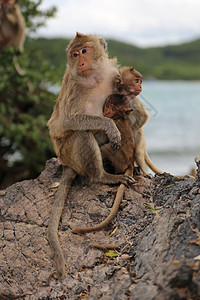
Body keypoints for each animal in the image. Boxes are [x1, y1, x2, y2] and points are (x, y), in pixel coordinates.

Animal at [47, 32, 134, 276]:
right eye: (75, 54)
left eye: (84, 51)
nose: (81, 63)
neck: (93, 76)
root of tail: (66, 163)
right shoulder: (73, 84)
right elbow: (68, 120)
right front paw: (110, 126)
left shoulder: (113, 75)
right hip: (68, 153)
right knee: (82, 134)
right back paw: (103, 176)